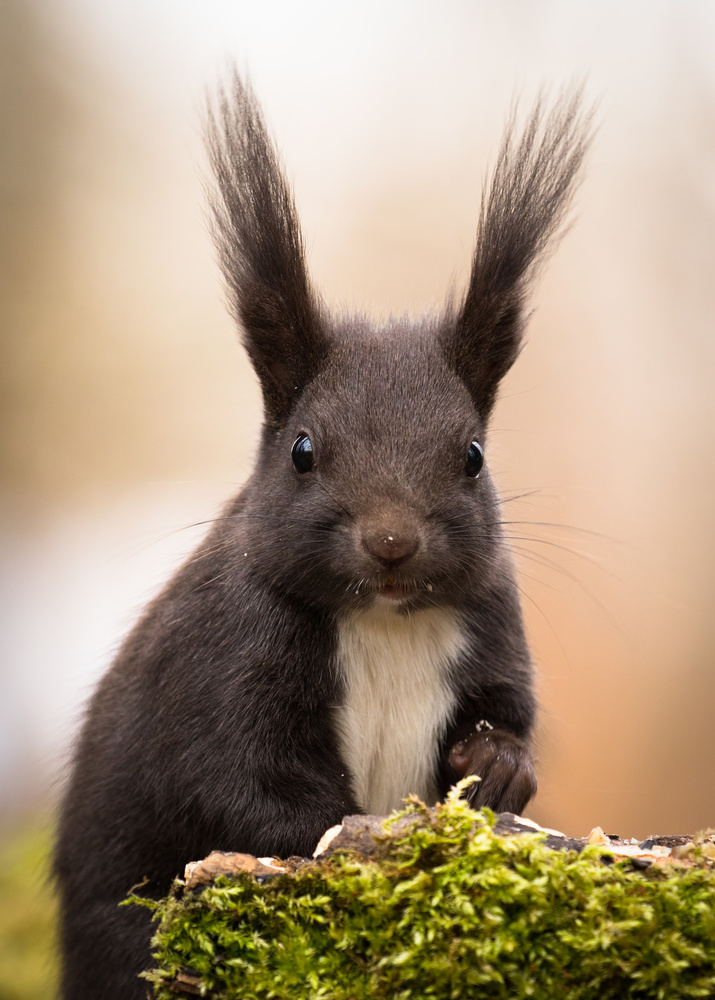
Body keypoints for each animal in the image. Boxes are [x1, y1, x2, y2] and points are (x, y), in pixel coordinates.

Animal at [53, 74, 592, 996]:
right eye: (302, 451)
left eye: (473, 456)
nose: (391, 543)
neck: (383, 619)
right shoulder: (225, 661)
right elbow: (249, 791)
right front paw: (362, 838)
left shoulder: (493, 623)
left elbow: (508, 713)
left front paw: (498, 766)